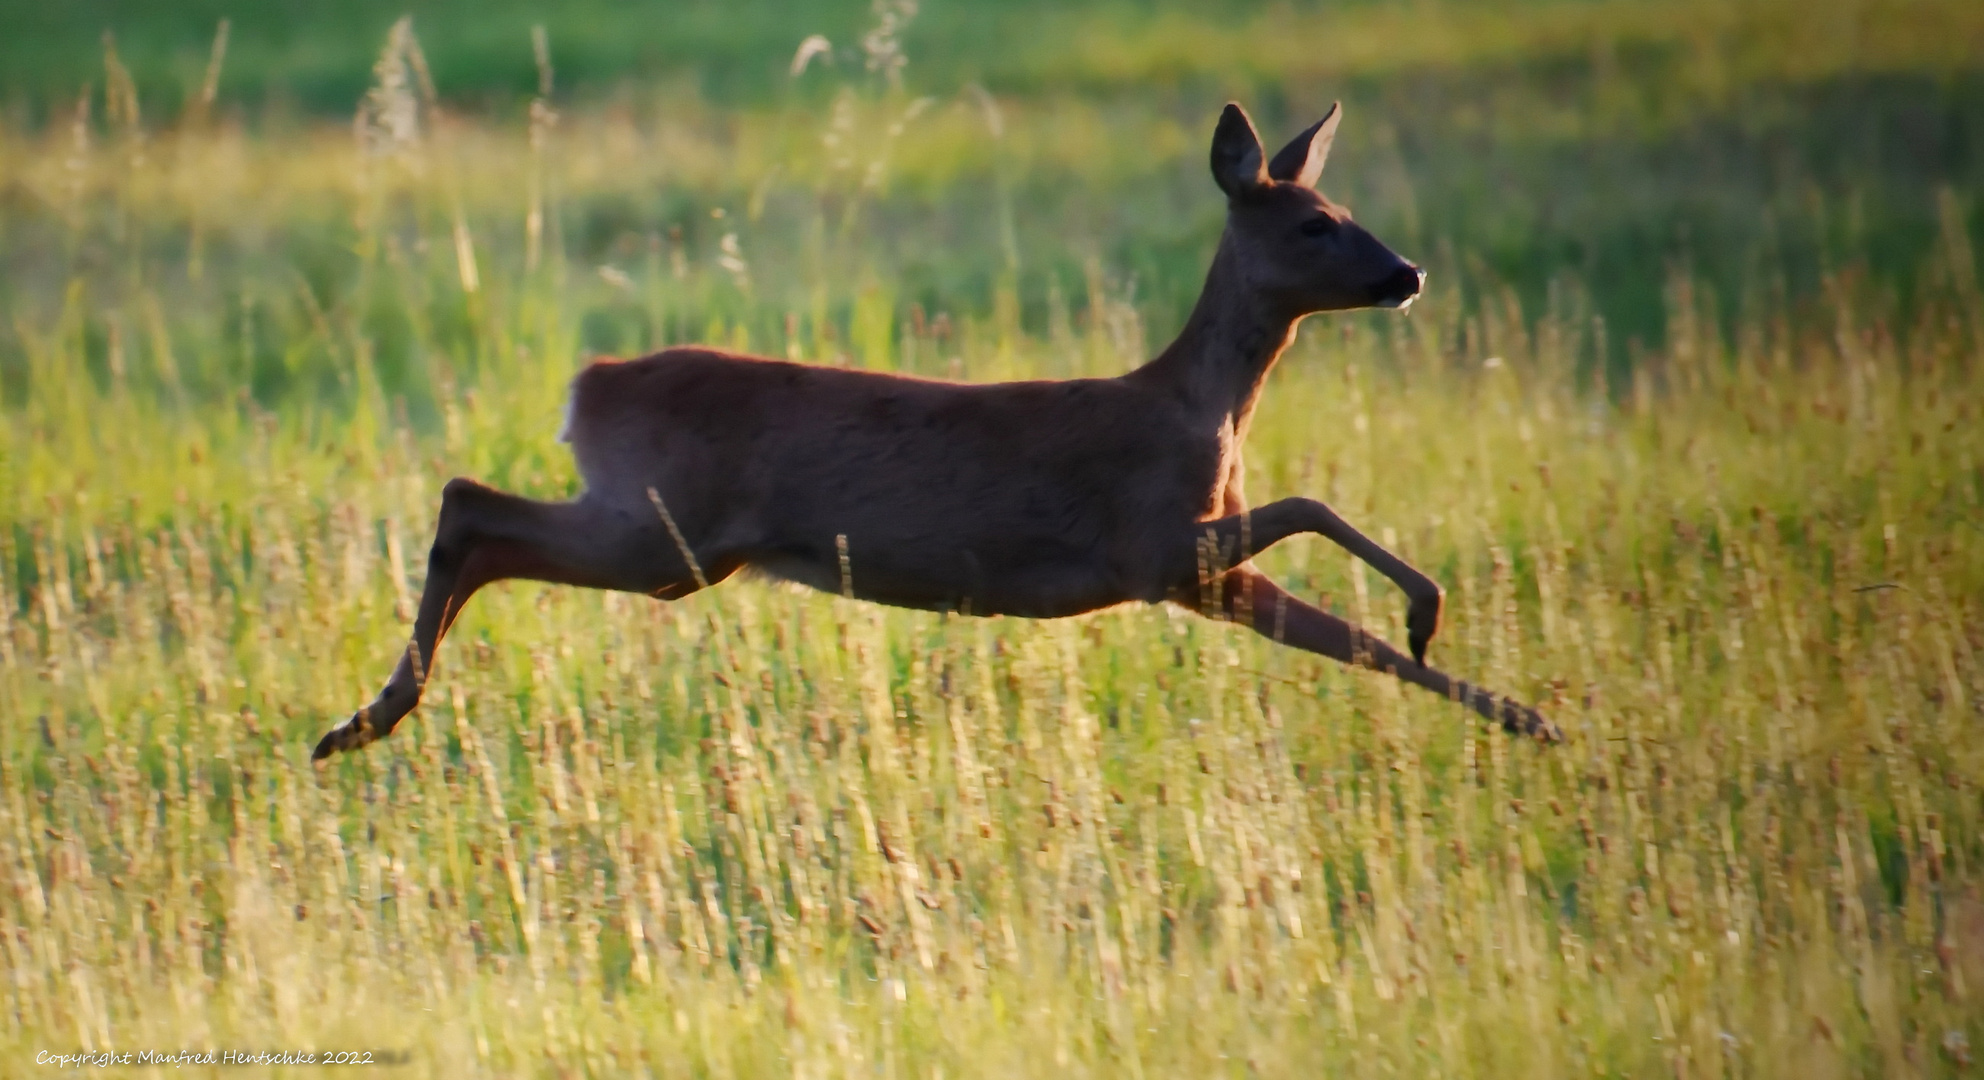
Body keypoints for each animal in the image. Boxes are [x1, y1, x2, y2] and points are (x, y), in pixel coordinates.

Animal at [309, 101, 1555, 758]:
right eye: (1313, 225)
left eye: (1344, 211)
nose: (1406, 273)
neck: (1197, 409)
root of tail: (588, 385)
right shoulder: (1157, 548)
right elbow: (1320, 537)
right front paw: (1485, 672)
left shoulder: (1191, 560)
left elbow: (1332, 581)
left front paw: (1513, 701)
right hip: (665, 530)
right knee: (469, 506)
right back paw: (363, 722)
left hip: (664, 535)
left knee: (474, 515)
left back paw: (363, 723)